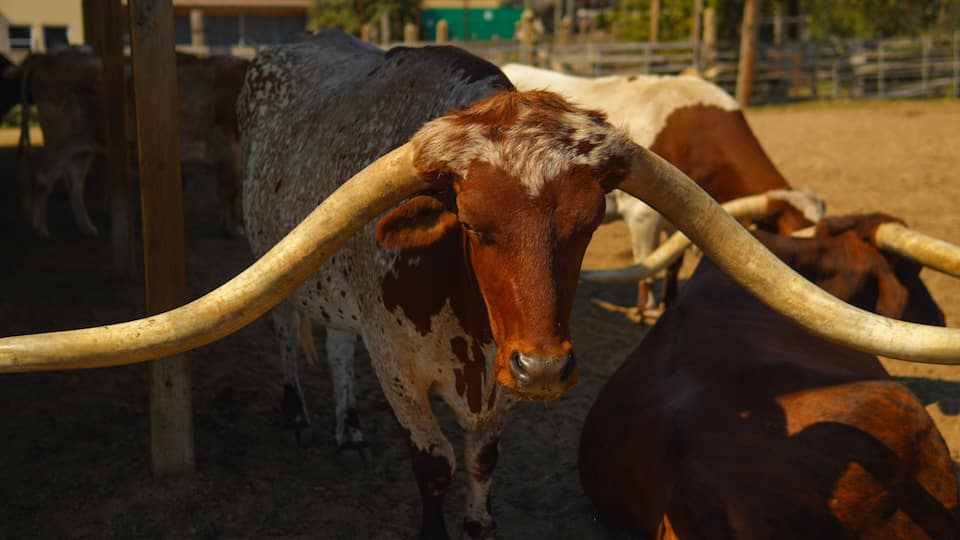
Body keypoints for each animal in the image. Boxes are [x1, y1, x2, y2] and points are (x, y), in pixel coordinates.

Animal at [15, 47, 249, 238]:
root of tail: (49, 58)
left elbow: (226, 191)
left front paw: (228, 225)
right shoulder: (230, 147)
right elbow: (231, 191)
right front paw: (235, 229)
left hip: (81, 147)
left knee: (74, 183)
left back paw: (87, 228)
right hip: (59, 142)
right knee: (45, 178)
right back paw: (40, 229)